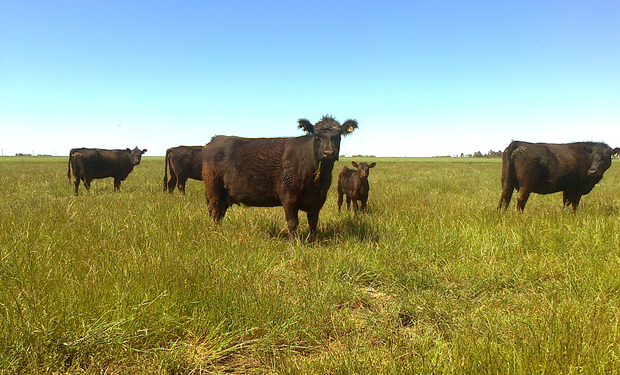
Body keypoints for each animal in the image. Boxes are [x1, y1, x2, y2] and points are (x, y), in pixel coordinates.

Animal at [202, 116, 358, 236]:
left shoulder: (318, 199)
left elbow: (313, 222)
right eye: (316, 135)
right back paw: (215, 233)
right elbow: (293, 222)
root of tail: (215, 139)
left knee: (219, 212)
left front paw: (313, 240)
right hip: (214, 189)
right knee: (215, 211)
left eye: (338, 135)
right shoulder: (288, 196)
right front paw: (294, 244)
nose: (328, 153)